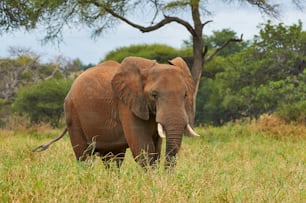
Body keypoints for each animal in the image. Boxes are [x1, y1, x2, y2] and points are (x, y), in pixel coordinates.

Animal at [33, 56, 200, 169]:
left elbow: (156, 149)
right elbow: (143, 149)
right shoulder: (126, 104)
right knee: (84, 156)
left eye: (185, 95)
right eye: (154, 95)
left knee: (113, 158)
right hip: (72, 113)